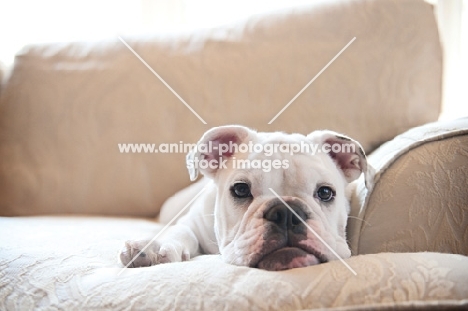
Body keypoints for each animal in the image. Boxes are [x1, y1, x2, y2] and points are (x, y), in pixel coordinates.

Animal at [119, 125, 372, 272]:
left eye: (326, 193)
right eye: (240, 190)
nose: (286, 213)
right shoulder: (193, 222)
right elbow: (181, 231)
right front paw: (153, 246)